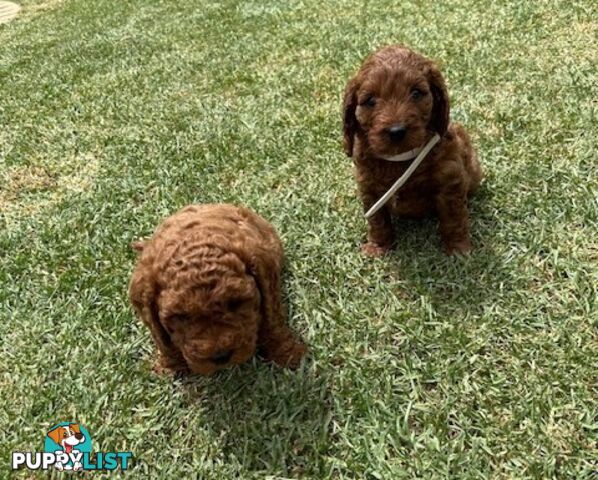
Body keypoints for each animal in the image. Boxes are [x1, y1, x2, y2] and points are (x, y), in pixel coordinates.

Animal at [132, 202, 310, 376]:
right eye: (181, 316)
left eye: (235, 303)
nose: (221, 356)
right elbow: (162, 340)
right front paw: (171, 365)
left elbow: (272, 319)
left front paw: (289, 353)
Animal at [342, 44, 482, 255]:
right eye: (370, 100)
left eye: (416, 93)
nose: (396, 131)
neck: (400, 159)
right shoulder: (368, 186)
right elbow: (377, 220)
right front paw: (378, 246)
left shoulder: (450, 180)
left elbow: (454, 218)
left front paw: (458, 249)